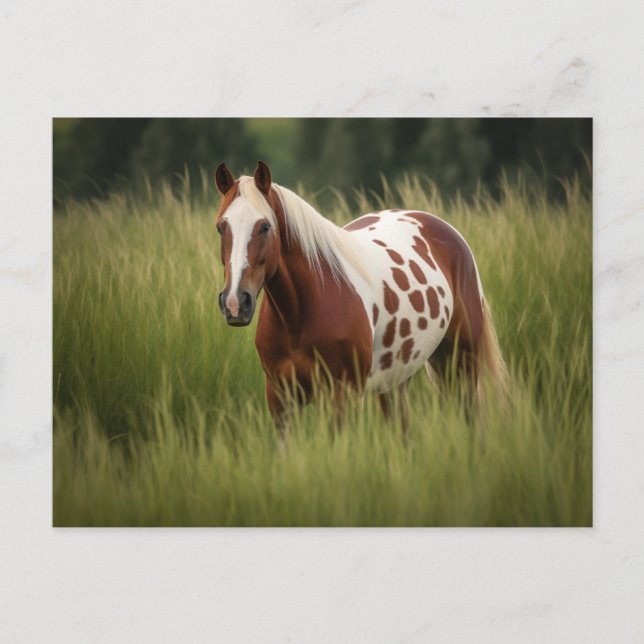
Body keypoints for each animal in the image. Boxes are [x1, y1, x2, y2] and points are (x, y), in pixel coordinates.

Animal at [214, 160, 507, 437]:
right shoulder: (281, 399)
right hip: (398, 378)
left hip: (462, 363)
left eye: (264, 226)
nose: (235, 302)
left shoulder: (344, 396)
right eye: (220, 227)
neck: (299, 315)